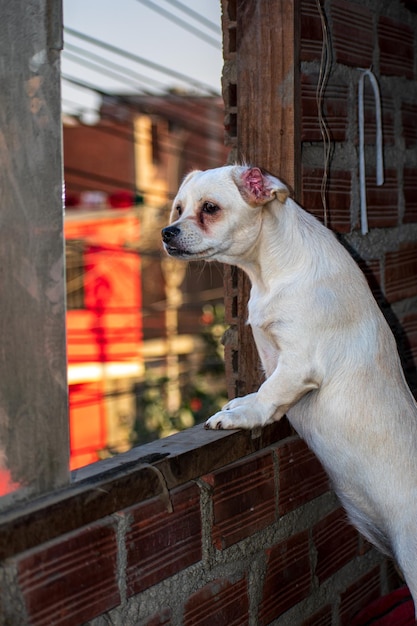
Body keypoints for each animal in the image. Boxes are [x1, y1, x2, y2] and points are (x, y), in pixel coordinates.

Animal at [162, 163, 416, 612]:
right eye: (178, 208)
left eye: (209, 209)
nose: (167, 232)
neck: (266, 274)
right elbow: (263, 388)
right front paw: (239, 402)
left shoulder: (299, 361)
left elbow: (269, 395)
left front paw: (241, 416)